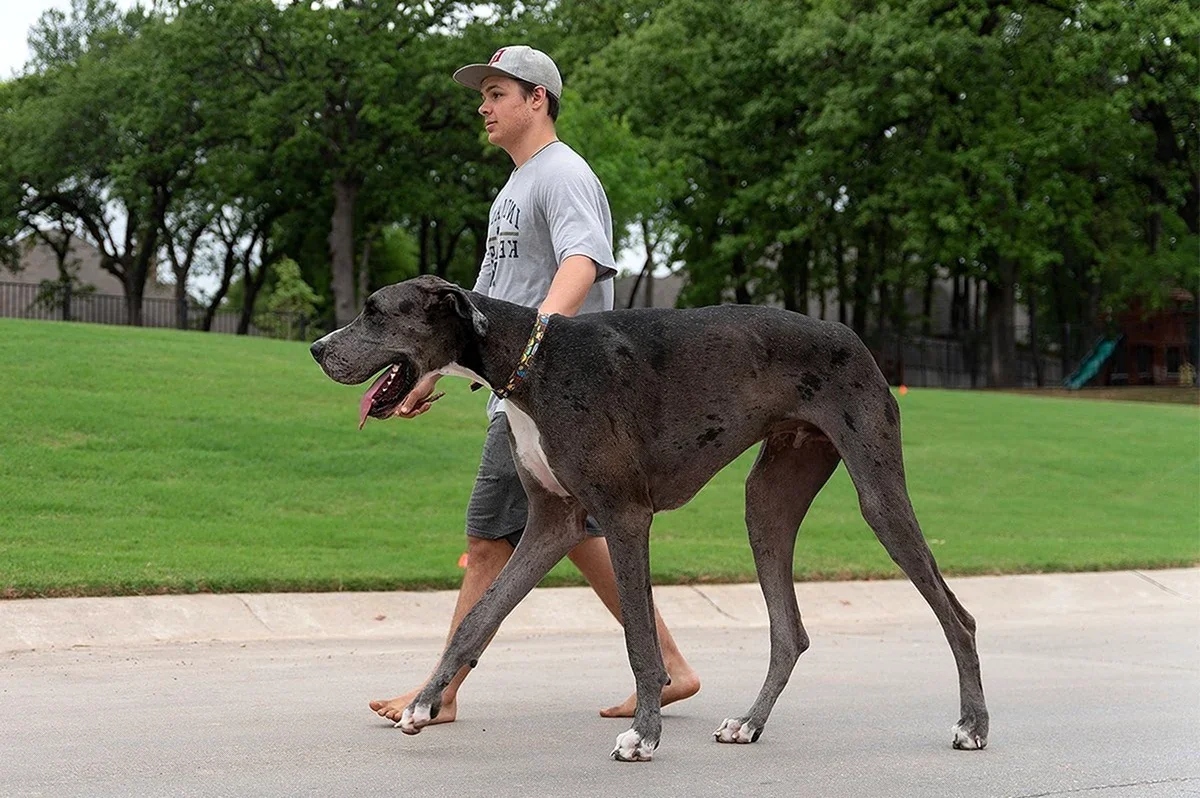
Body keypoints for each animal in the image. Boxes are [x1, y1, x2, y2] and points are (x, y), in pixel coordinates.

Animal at [307, 273, 984, 758]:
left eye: (375, 310)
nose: (316, 349)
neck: (531, 363)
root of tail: (850, 335)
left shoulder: (624, 517)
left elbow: (638, 636)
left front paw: (645, 734)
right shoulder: (552, 525)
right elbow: (477, 618)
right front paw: (422, 705)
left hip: (879, 496)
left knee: (958, 615)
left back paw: (973, 725)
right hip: (766, 503)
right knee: (789, 630)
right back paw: (749, 724)